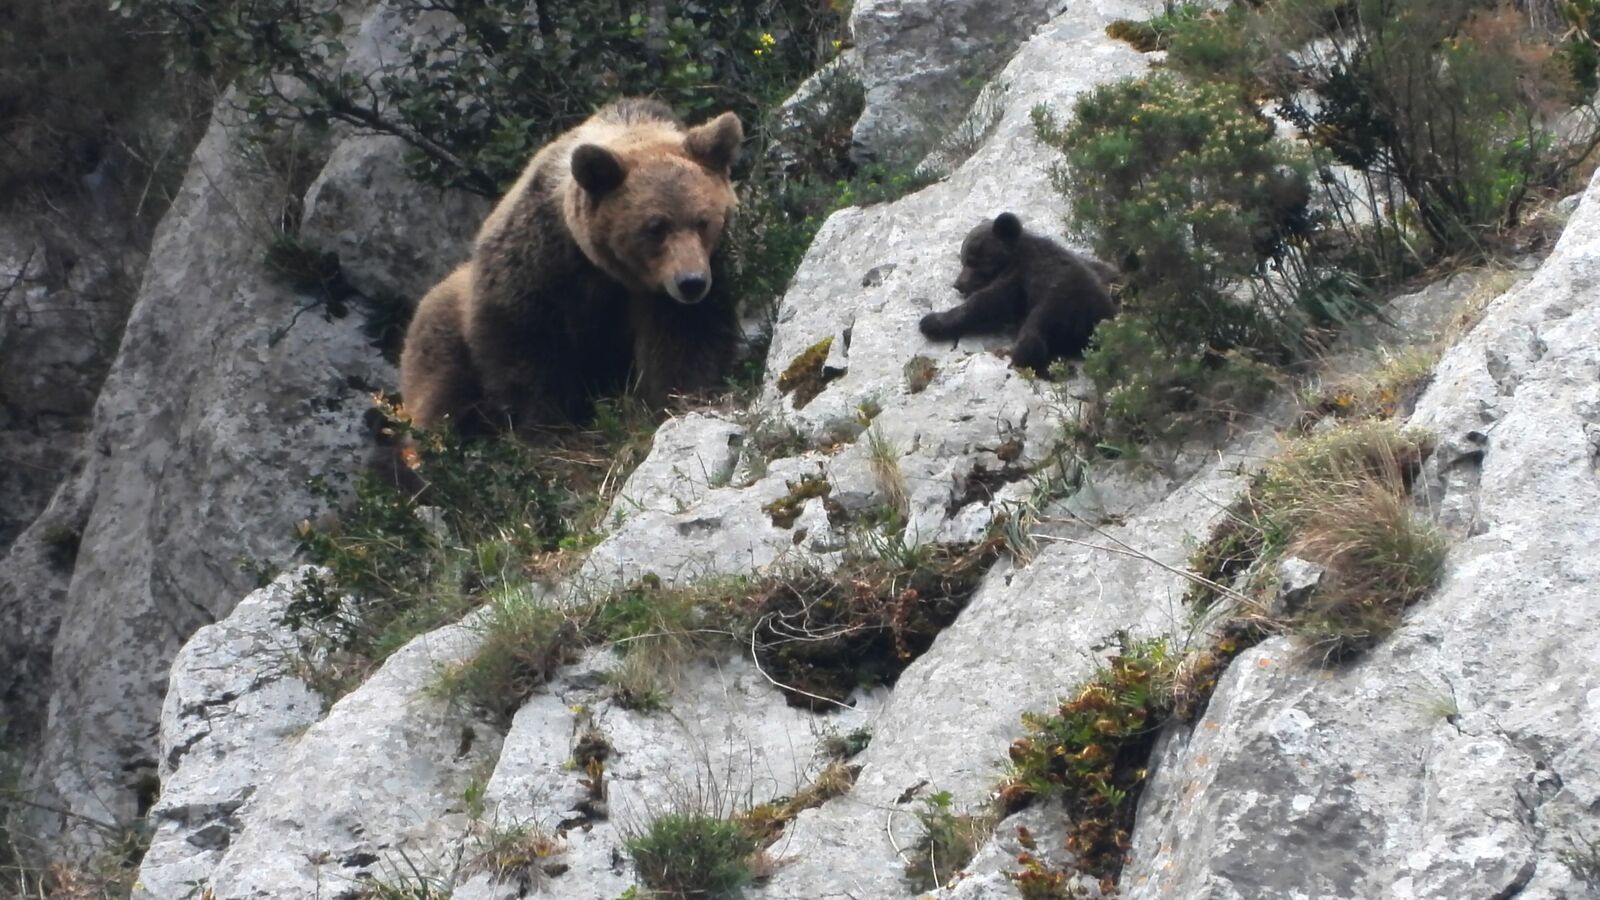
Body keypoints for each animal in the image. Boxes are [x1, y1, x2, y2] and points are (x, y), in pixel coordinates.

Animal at [400, 98, 748, 432]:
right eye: (655, 227)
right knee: (444, 395)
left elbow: (686, 338)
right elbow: (529, 351)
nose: (691, 282)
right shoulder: (539, 263)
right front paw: (546, 424)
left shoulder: (677, 286)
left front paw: (678, 397)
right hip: (442, 334)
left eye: (703, 221)